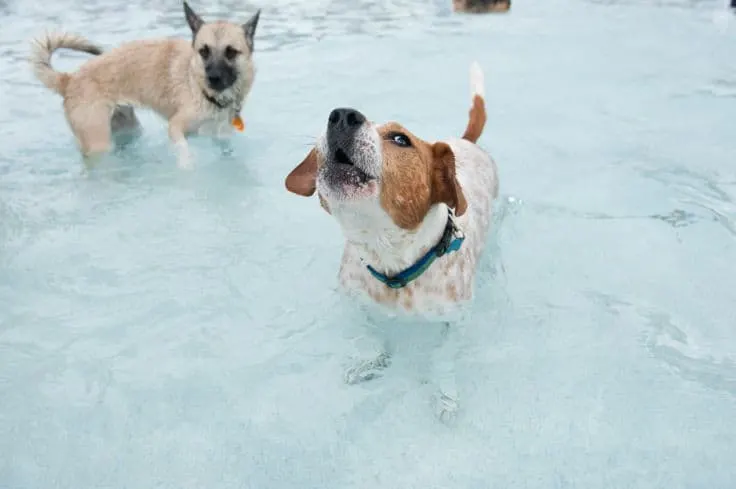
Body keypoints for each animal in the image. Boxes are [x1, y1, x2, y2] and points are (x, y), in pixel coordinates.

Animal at [31, 2, 262, 168]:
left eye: (231, 52)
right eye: (203, 51)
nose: (212, 78)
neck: (202, 91)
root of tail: (69, 79)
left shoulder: (221, 135)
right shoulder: (175, 127)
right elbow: (184, 151)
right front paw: (188, 166)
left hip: (128, 126)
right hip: (99, 141)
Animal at [284, 61, 498, 420]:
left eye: (400, 139)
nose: (342, 114)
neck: (391, 260)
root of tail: (463, 142)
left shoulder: (455, 321)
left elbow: (444, 357)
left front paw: (445, 395)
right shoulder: (358, 304)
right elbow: (369, 336)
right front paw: (369, 362)